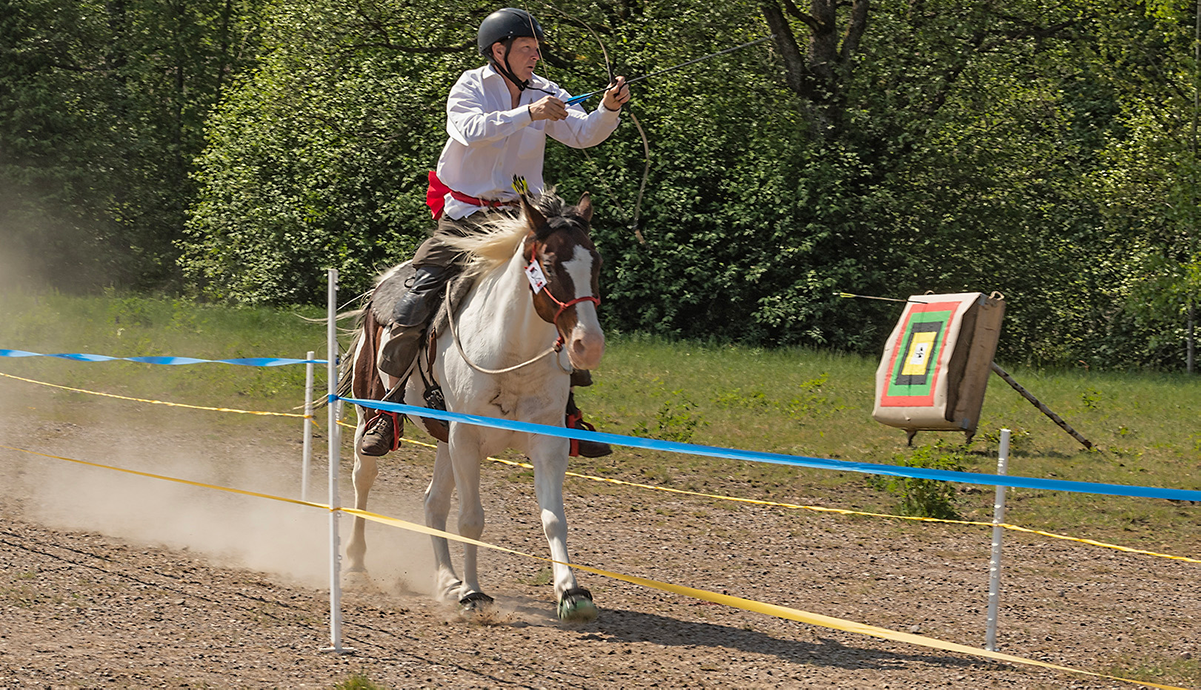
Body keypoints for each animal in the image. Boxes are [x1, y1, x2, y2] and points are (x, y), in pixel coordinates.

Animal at [341, 189, 605, 622]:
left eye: (595, 264)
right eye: (550, 265)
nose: (588, 344)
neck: (510, 355)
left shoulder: (547, 443)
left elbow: (554, 519)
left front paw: (571, 593)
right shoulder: (466, 440)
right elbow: (470, 519)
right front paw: (473, 593)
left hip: (443, 439)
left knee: (433, 503)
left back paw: (447, 581)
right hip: (371, 415)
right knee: (363, 478)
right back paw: (356, 564)